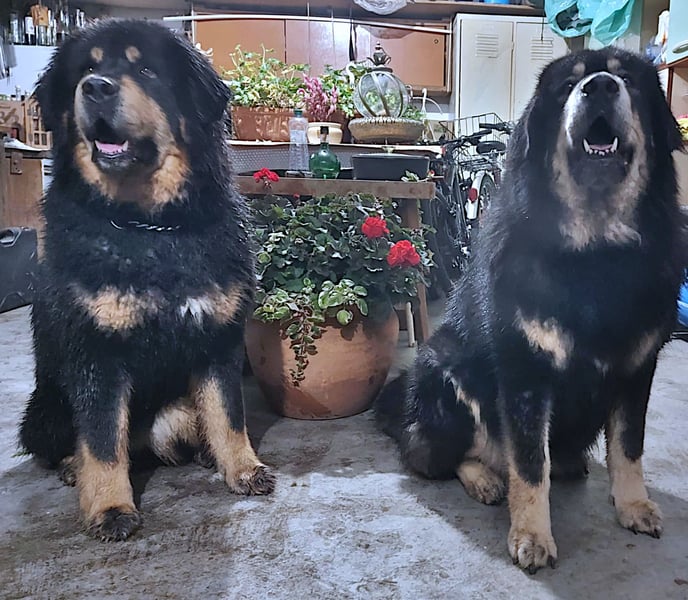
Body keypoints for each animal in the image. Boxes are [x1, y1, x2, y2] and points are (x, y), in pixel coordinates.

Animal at [18, 19, 275, 541]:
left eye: (147, 70)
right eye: (88, 68)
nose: (95, 88)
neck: (150, 226)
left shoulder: (219, 339)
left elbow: (229, 415)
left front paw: (242, 468)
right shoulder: (96, 353)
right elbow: (101, 441)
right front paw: (110, 508)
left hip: (173, 413)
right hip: (45, 408)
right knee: (84, 442)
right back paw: (74, 468)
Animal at [375, 48, 686, 573]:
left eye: (626, 78)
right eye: (566, 87)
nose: (599, 87)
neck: (595, 251)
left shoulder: (637, 367)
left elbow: (629, 448)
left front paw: (633, 505)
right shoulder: (525, 372)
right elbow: (528, 464)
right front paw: (532, 535)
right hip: (444, 367)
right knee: (439, 456)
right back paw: (483, 478)